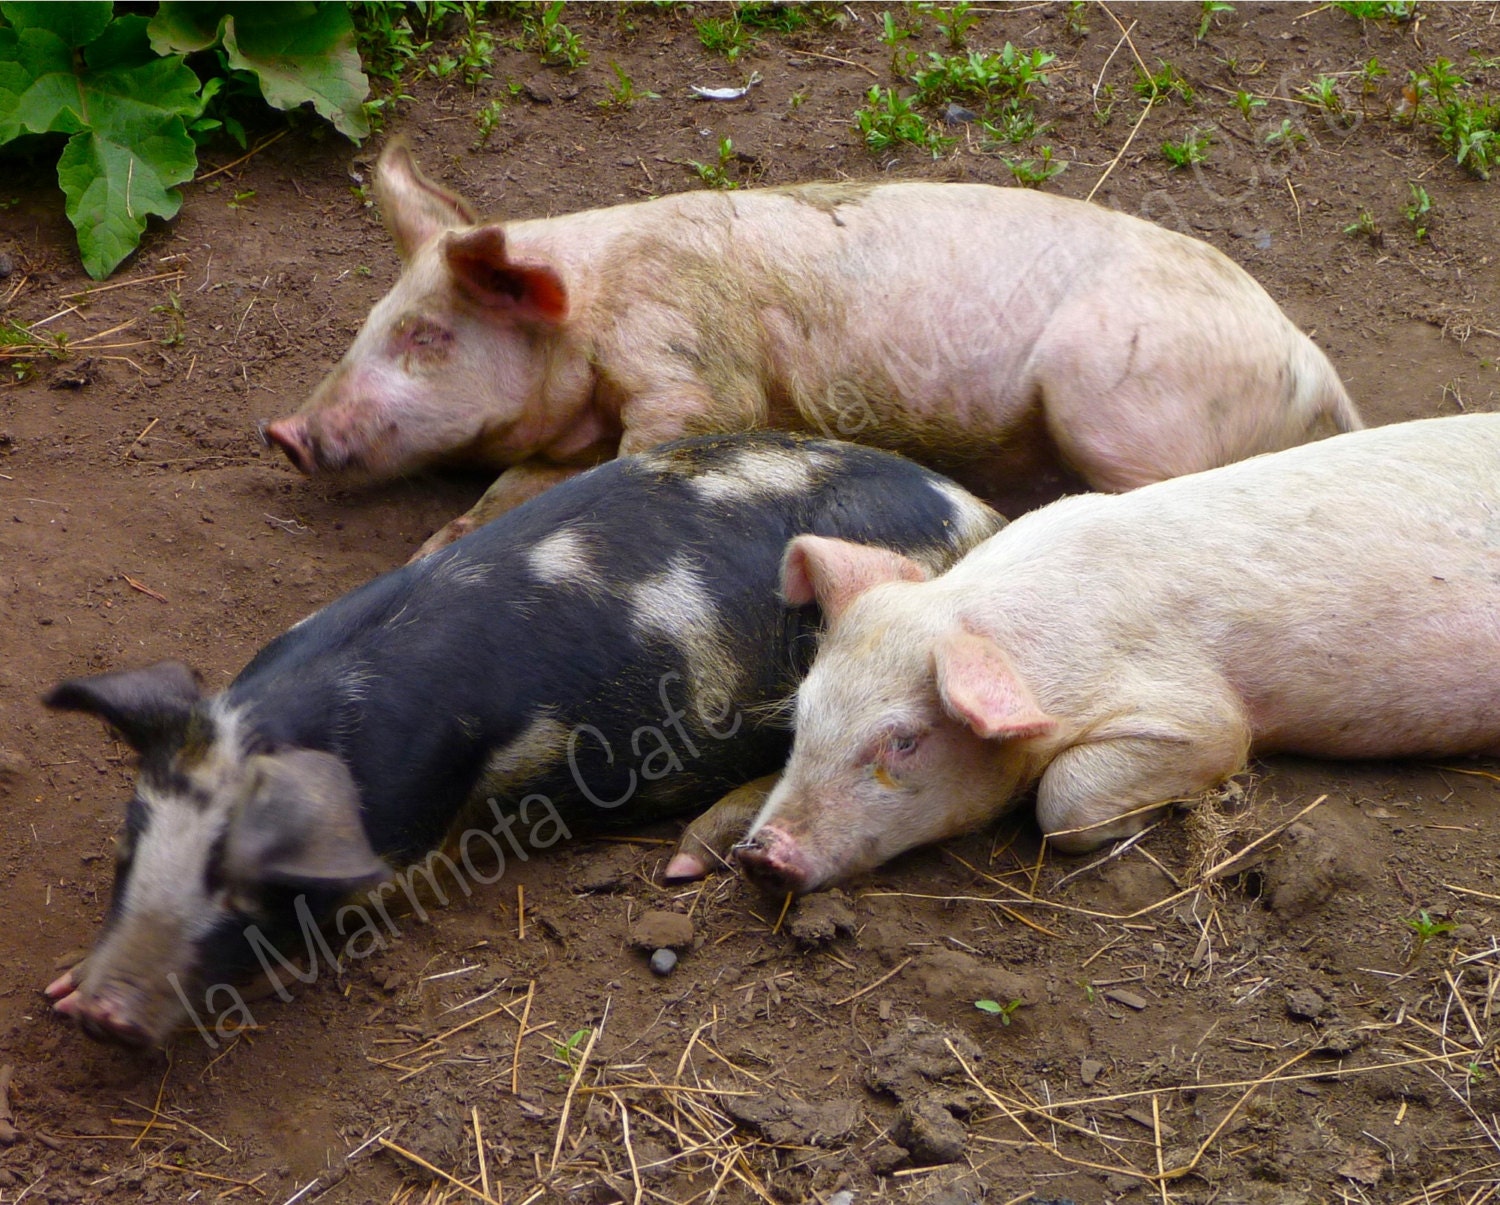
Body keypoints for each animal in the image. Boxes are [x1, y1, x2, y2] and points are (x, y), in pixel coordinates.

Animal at [42, 432, 1000, 1045]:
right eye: (131, 849)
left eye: (252, 888)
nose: (97, 1011)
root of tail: (979, 512)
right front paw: (54, 989)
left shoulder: (421, 831)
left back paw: (686, 862)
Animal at [263, 141, 1360, 557]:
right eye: (371, 320)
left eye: (428, 333)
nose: (282, 431)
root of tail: (1309, 363)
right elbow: (512, 487)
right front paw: (440, 545)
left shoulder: (690, 366)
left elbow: (668, 439)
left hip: (1122, 397)